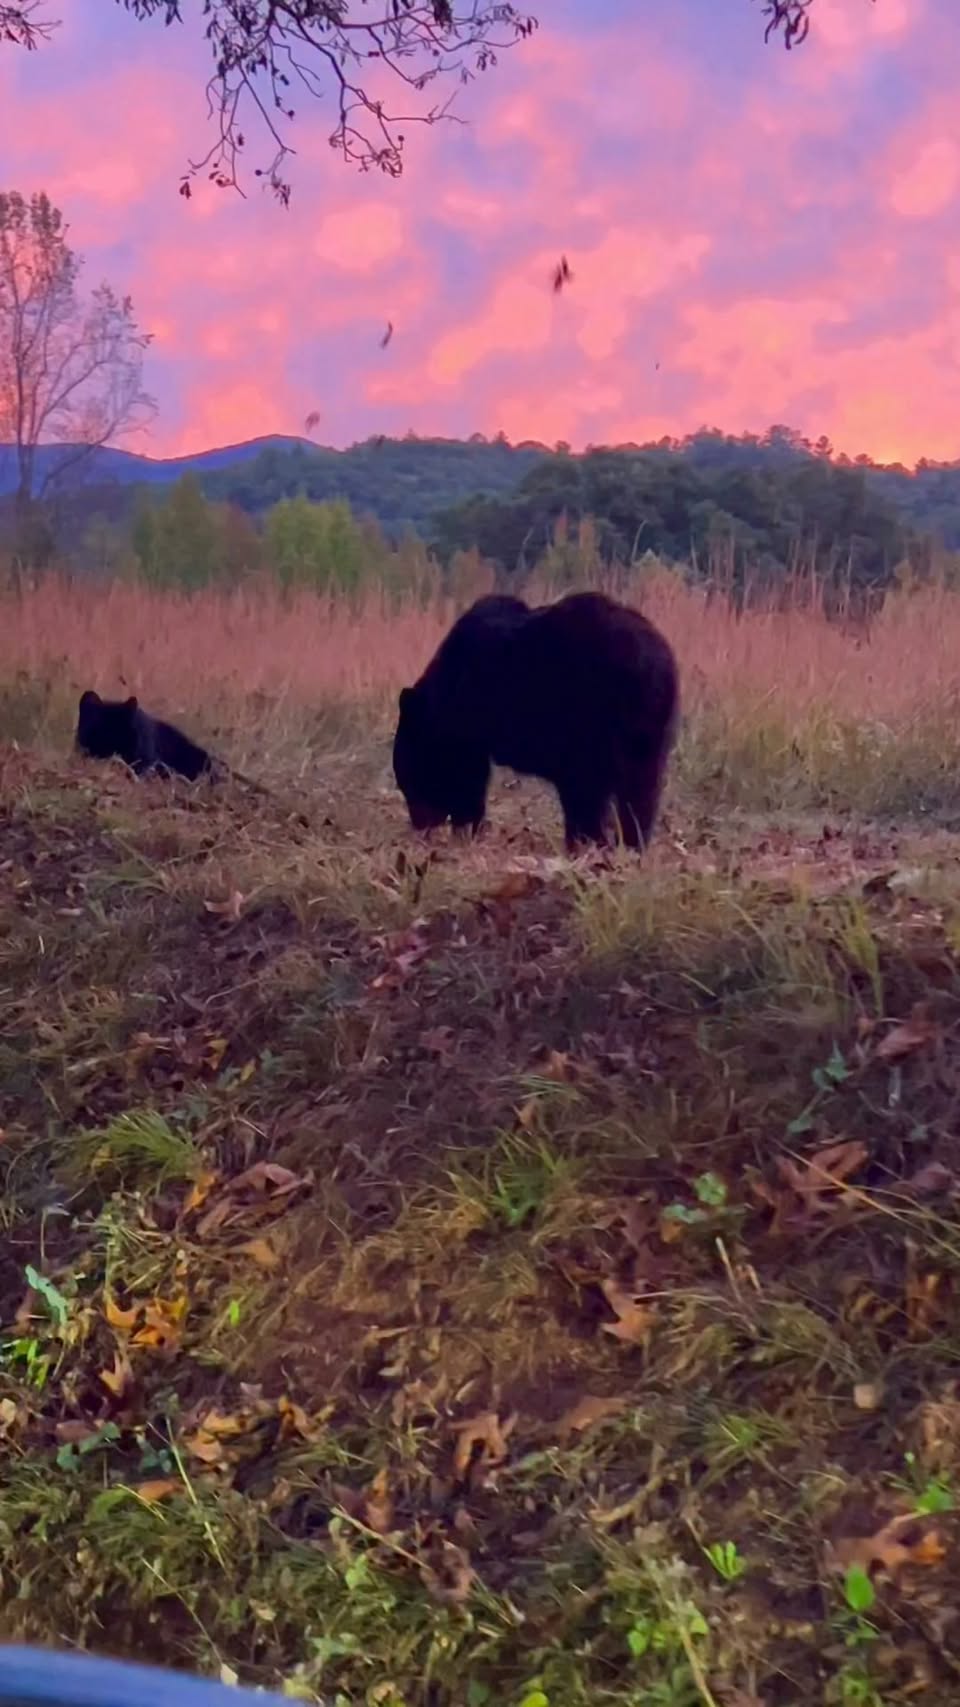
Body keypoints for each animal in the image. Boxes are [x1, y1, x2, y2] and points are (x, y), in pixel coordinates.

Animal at [392, 591, 679, 850]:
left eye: (408, 778)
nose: (419, 823)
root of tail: (656, 661)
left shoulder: (467, 722)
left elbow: (467, 775)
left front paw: (466, 827)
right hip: (648, 732)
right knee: (640, 789)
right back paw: (629, 843)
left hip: (594, 720)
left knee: (589, 788)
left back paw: (586, 841)